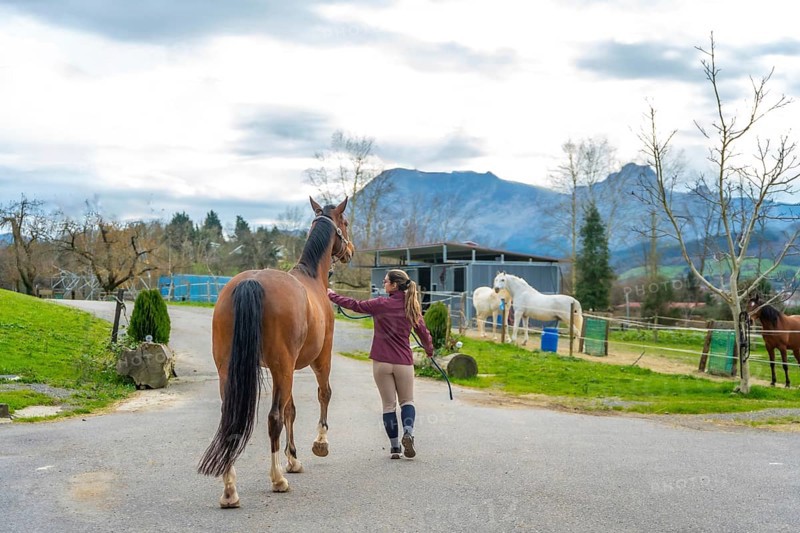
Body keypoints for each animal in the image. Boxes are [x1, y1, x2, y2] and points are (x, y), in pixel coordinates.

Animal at [197, 197, 354, 508]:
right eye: (344, 222)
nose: (351, 251)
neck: (311, 278)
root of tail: (251, 282)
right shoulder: (320, 359)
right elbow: (322, 395)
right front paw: (319, 444)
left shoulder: (289, 369)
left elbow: (291, 409)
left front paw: (293, 459)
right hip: (284, 367)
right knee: (273, 419)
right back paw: (277, 479)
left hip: (230, 370)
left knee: (231, 418)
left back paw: (230, 490)